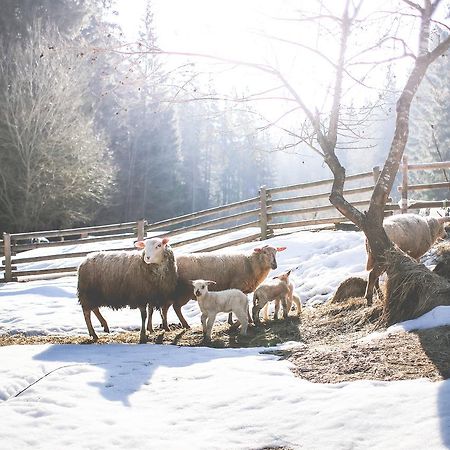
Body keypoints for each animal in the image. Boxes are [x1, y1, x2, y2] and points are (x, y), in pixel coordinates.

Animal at [149, 244, 286, 332]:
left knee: (164, 308)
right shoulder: (237, 286)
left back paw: (165, 327)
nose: (275, 265)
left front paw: (240, 321)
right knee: (175, 307)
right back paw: (184, 325)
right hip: (182, 292)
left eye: (276, 252)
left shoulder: (242, 290)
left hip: (169, 293)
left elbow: (244, 305)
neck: (251, 264)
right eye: (264, 252)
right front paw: (241, 321)